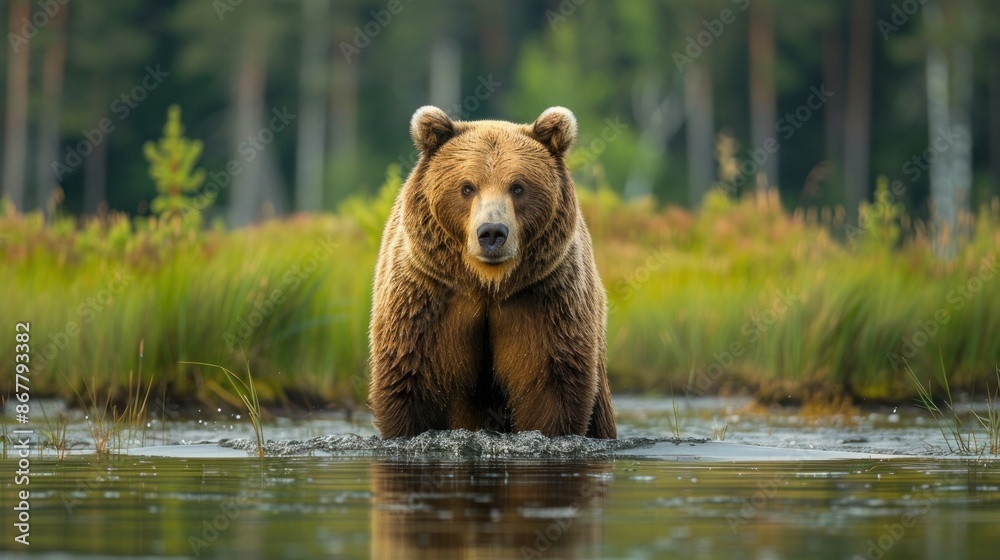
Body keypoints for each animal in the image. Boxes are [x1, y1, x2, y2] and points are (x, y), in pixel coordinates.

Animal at [367, 105, 616, 440]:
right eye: (467, 187)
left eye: (518, 186)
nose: (492, 233)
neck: (486, 283)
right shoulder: (427, 298)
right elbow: (410, 379)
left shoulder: (544, 300)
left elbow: (550, 385)